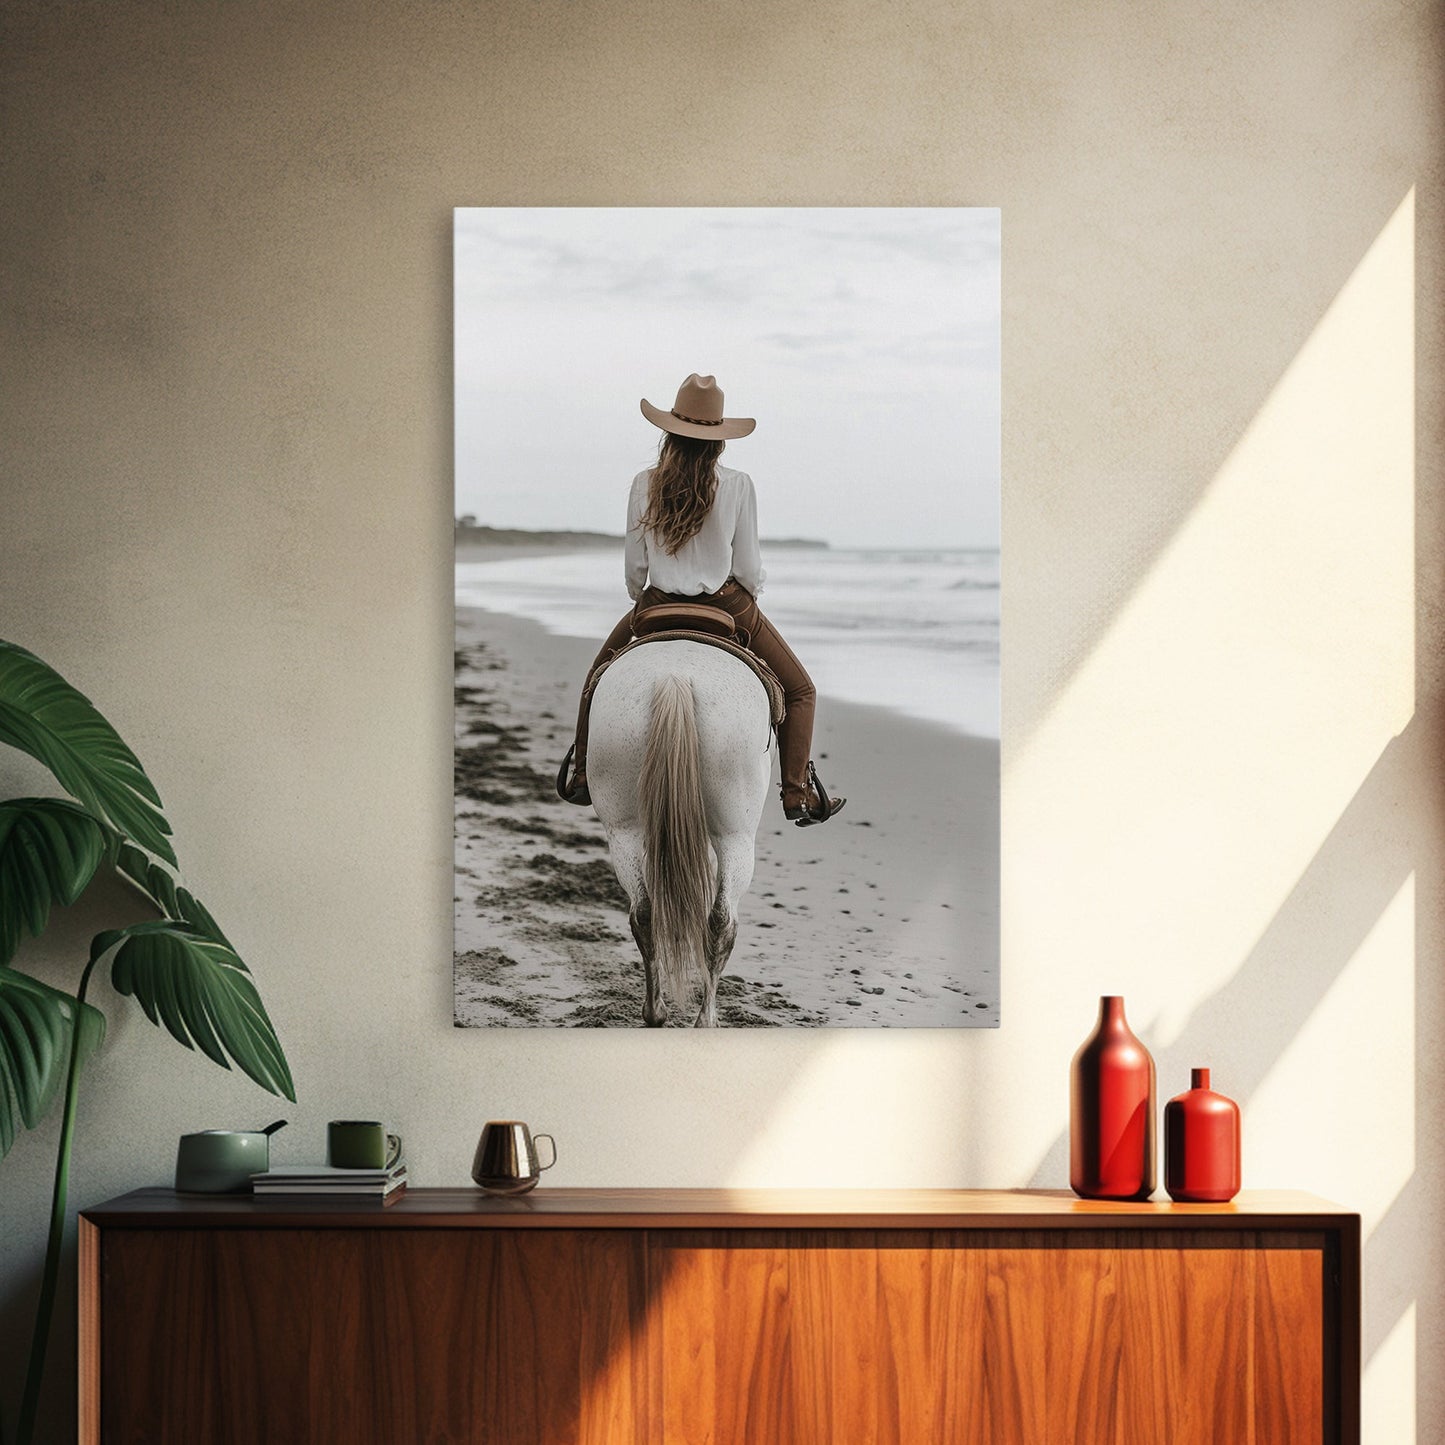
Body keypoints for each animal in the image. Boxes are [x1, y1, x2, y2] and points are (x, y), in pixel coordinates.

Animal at [586, 640, 774, 1027]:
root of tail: (674, 677)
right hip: (736, 835)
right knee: (721, 921)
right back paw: (706, 1020)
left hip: (623, 829)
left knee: (644, 913)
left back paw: (655, 1012)